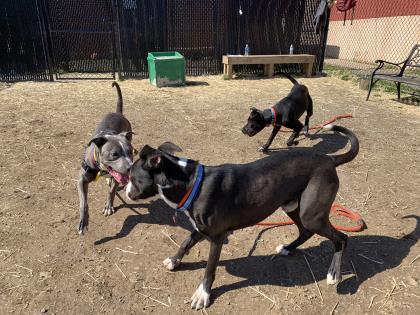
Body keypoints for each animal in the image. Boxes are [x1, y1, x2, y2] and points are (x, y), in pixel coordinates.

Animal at [76, 82, 133, 236]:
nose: (131, 167)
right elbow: (84, 203)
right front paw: (83, 222)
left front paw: (108, 206)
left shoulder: (118, 176)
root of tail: (118, 113)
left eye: (130, 152)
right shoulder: (81, 180)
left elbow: (111, 191)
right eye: (114, 154)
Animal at [124, 124, 358, 312]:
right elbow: (185, 242)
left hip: (312, 215)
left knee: (341, 238)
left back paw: (334, 274)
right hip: (292, 206)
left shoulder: (217, 237)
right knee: (305, 231)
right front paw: (174, 260)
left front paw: (203, 294)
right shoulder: (200, 229)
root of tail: (329, 159)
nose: (125, 190)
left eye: (131, 176)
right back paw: (288, 248)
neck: (190, 184)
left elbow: (209, 269)